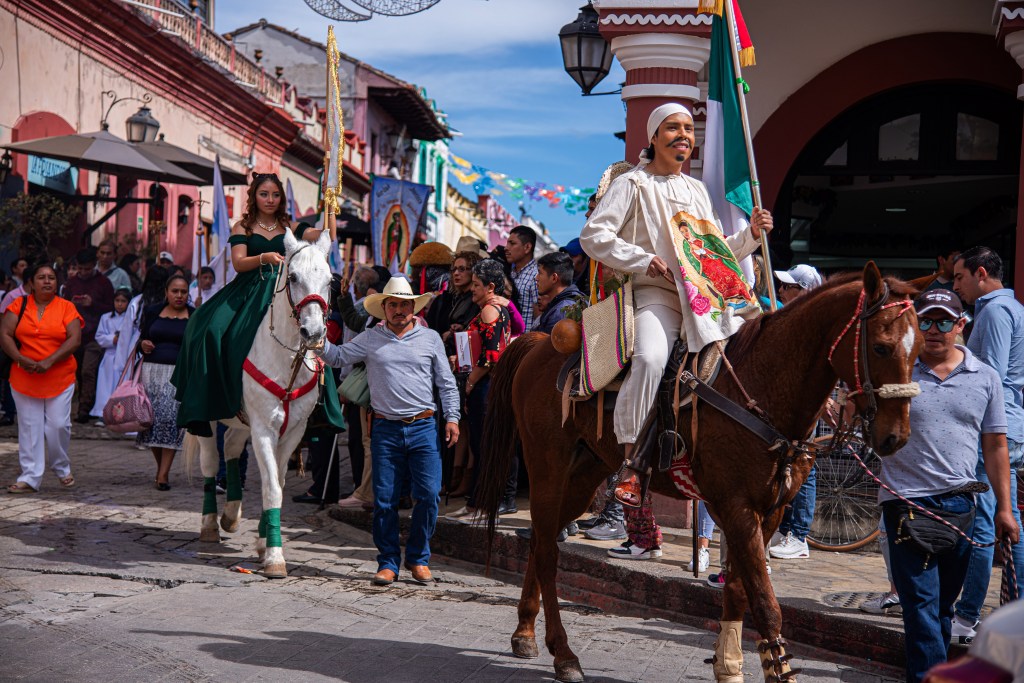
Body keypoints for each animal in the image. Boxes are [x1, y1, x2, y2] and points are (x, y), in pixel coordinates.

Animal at [188, 229, 335, 577]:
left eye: (330, 280)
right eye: (293, 277)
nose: (314, 332)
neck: (287, 359)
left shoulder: (293, 431)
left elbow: (278, 482)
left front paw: (264, 541)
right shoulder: (264, 430)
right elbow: (271, 488)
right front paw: (275, 557)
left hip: (242, 421)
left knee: (230, 445)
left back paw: (231, 515)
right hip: (206, 419)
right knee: (210, 463)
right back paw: (210, 524)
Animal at [479, 264, 929, 683]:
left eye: (921, 348)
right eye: (882, 347)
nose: (895, 436)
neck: (762, 387)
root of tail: (540, 342)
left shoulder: (771, 509)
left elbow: (738, 590)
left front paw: (730, 663)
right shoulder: (736, 505)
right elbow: (764, 601)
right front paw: (777, 667)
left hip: (584, 475)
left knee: (541, 540)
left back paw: (525, 633)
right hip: (548, 468)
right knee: (547, 551)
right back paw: (564, 654)